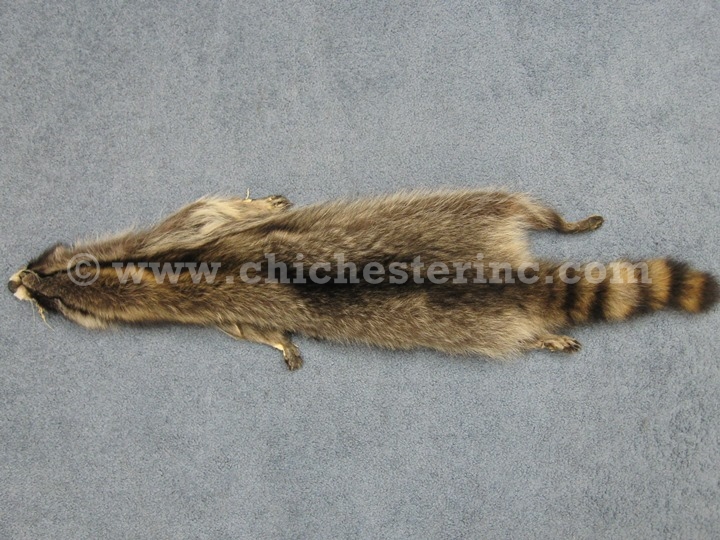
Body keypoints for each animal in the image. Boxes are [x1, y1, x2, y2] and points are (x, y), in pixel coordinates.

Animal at [8, 190, 718, 370]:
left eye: (56, 304)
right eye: (47, 261)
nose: (15, 281)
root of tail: (513, 276)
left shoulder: (188, 241)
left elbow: (215, 208)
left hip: (471, 306)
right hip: (477, 218)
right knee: (517, 204)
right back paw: (562, 225)